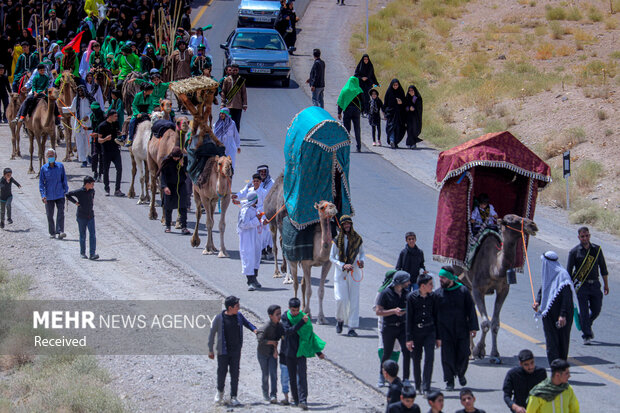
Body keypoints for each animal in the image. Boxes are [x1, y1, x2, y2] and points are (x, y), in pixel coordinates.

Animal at [460, 214, 536, 362]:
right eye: (511, 219)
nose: (532, 224)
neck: (494, 268)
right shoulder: (478, 289)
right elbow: (485, 323)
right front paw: (478, 351)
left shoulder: (503, 290)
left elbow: (495, 323)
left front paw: (494, 353)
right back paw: (470, 351)